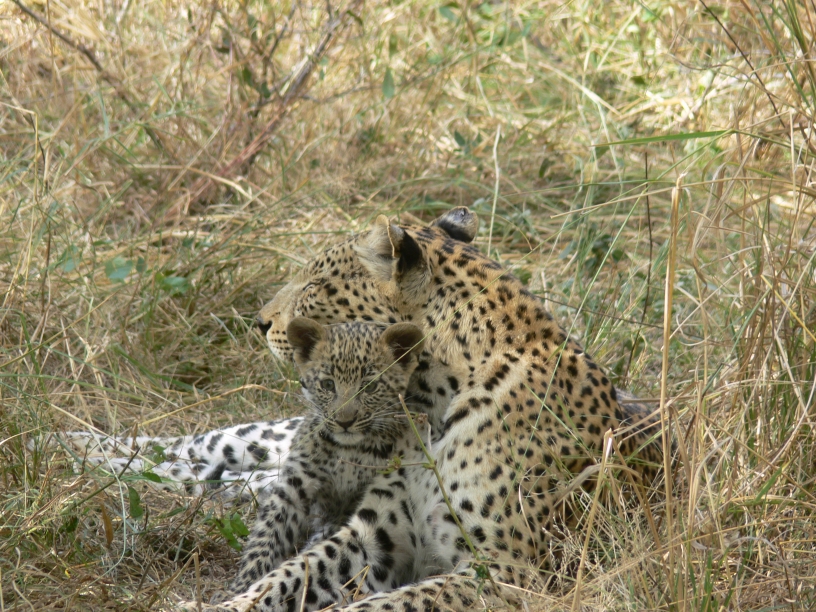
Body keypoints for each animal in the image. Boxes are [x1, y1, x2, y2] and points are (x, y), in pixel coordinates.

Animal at [178, 205, 666, 612]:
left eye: (315, 285)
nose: (260, 322)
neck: (434, 403)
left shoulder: (507, 574)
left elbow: (383, 605)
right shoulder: (375, 534)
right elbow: (287, 575)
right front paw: (218, 605)